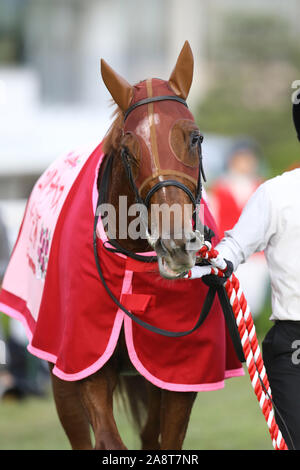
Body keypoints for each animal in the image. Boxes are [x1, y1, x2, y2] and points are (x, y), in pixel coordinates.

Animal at [49, 42, 206, 450]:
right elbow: (106, 438)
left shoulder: (174, 374)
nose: (176, 244)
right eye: (127, 149)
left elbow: (166, 438)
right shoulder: (86, 356)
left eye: (195, 138)